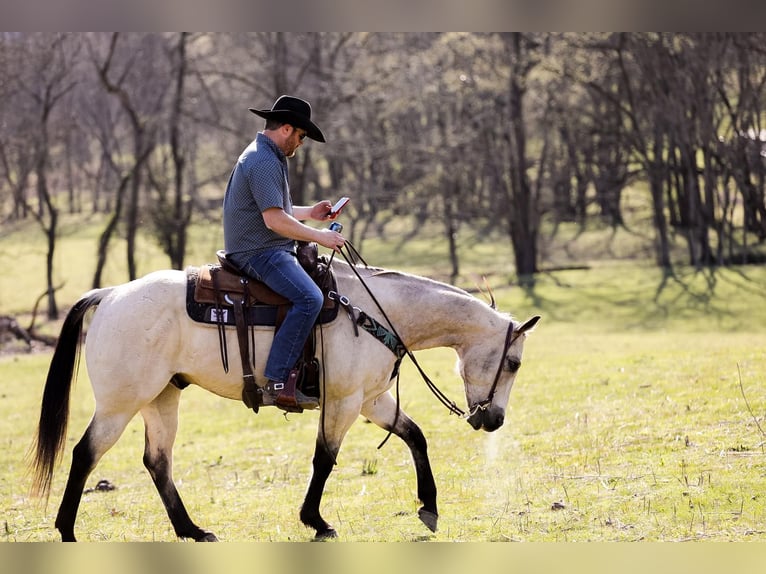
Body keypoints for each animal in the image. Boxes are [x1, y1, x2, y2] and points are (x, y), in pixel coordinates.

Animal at [30, 258, 544, 544]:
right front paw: (315, 520)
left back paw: (191, 531)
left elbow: (415, 436)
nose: (494, 420)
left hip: (162, 397)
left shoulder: (371, 400)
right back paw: (67, 530)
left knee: (157, 462)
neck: (378, 311)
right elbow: (325, 458)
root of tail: (111, 293)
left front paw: (430, 506)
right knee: (85, 454)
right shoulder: (344, 402)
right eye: (514, 363)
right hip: (120, 404)